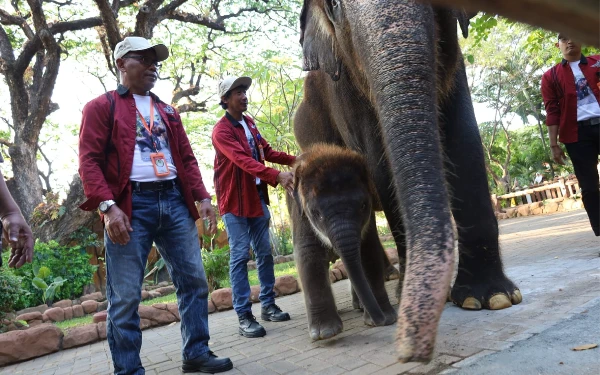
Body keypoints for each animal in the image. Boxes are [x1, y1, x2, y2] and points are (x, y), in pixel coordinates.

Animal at [288, 143, 396, 340]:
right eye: (316, 213)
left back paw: (360, 306)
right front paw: (325, 333)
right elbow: (308, 255)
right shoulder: (299, 215)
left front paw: (387, 317)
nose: (381, 321)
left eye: (363, 205)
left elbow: (369, 251)